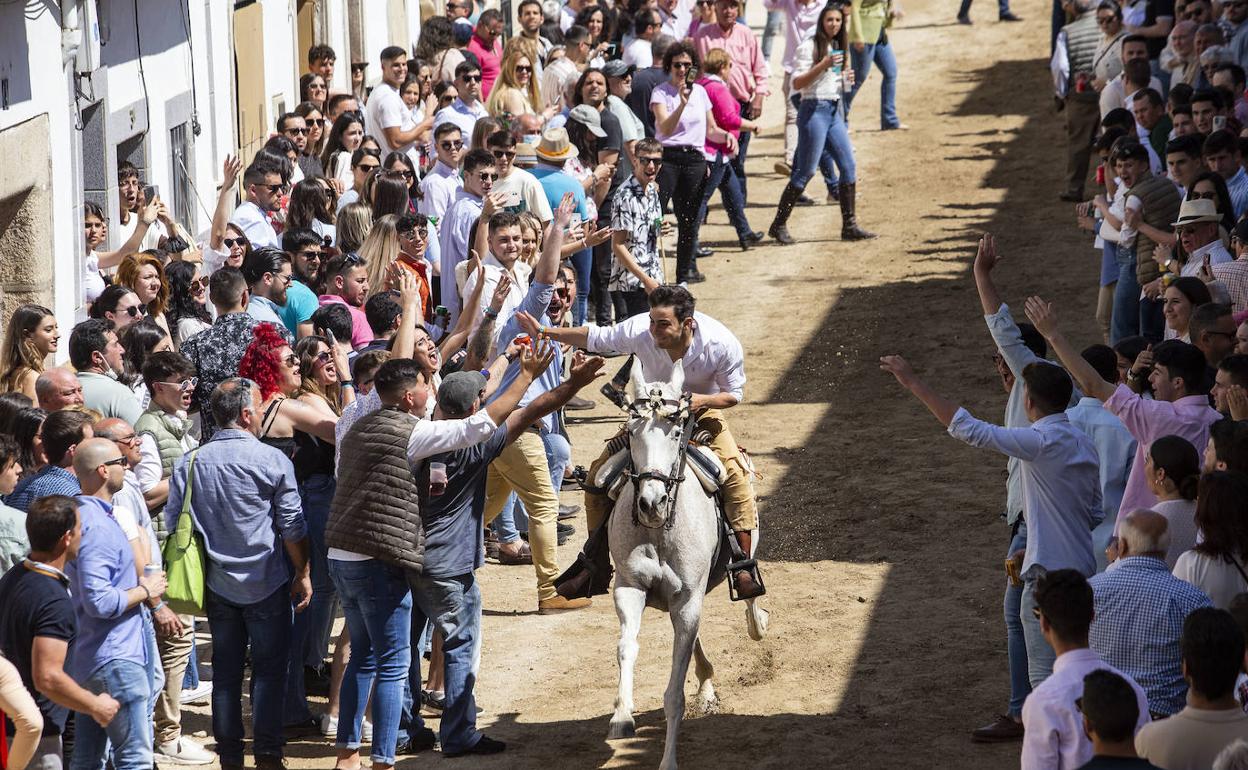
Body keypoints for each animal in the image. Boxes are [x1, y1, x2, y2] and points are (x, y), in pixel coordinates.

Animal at [606, 359, 768, 768]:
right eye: (631, 432)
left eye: (676, 430)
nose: (651, 502)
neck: (659, 530)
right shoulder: (630, 589)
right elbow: (627, 647)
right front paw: (622, 716)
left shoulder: (688, 598)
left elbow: (673, 695)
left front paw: (668, 761)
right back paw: (706, 686)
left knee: (747, 598)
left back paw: (757, 621)